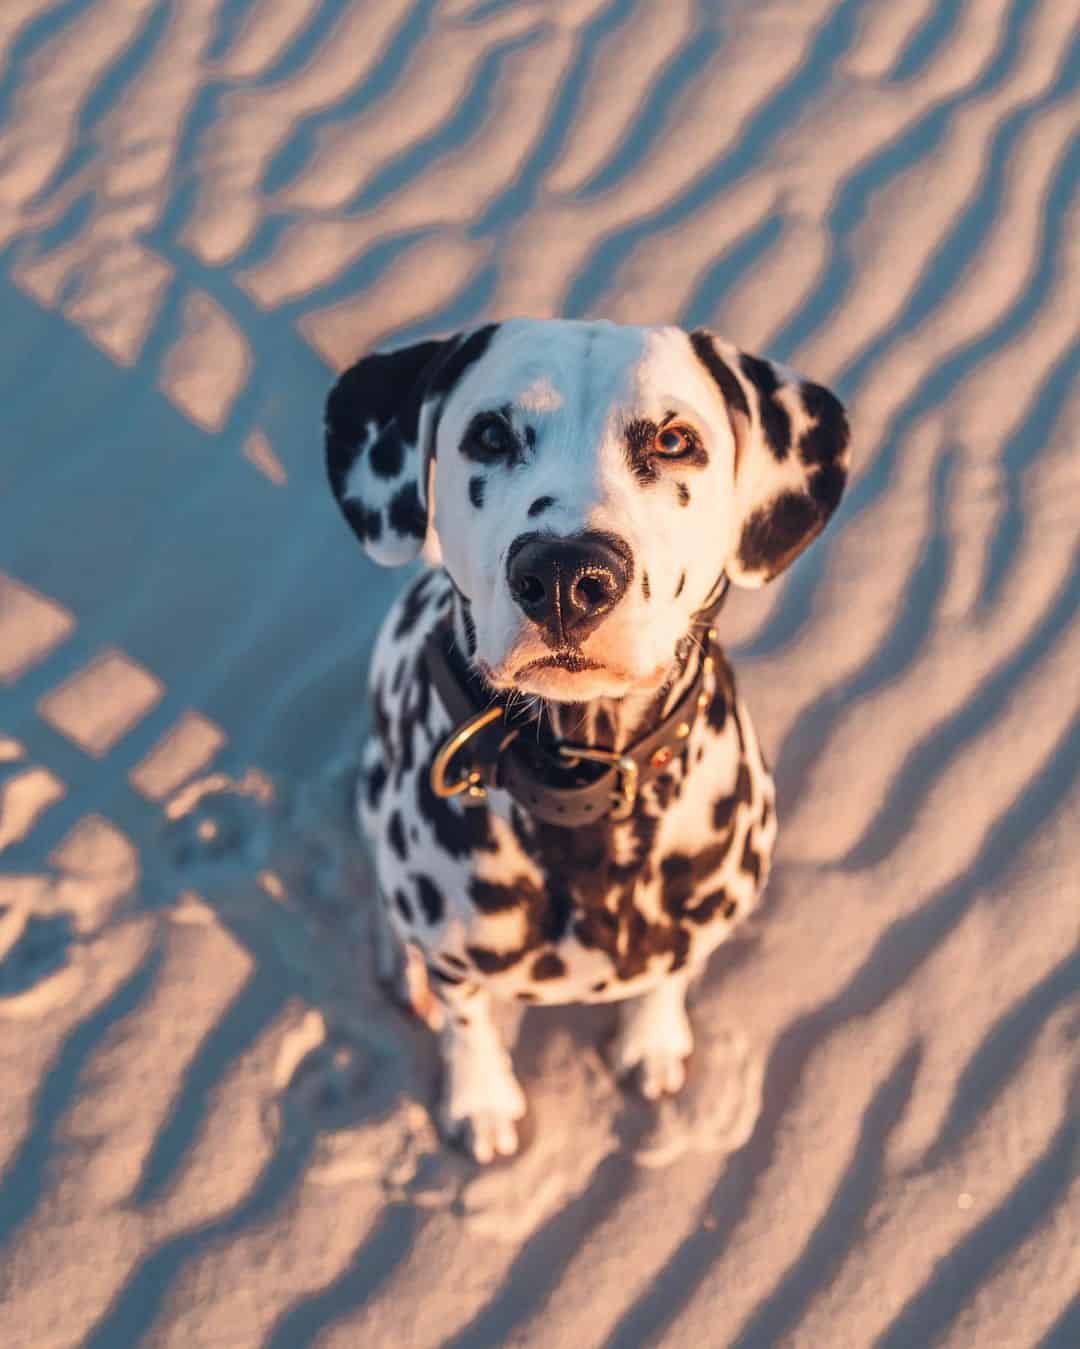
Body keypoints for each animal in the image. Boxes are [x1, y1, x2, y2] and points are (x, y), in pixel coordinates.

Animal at [324, 315, 846, 1160]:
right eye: (490, 434)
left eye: (674, 439)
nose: (566, 575)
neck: (579, 785)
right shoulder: (457, 957)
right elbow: (468, 1021)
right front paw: (482, 1101)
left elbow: (668, 978)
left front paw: (652, 1042)